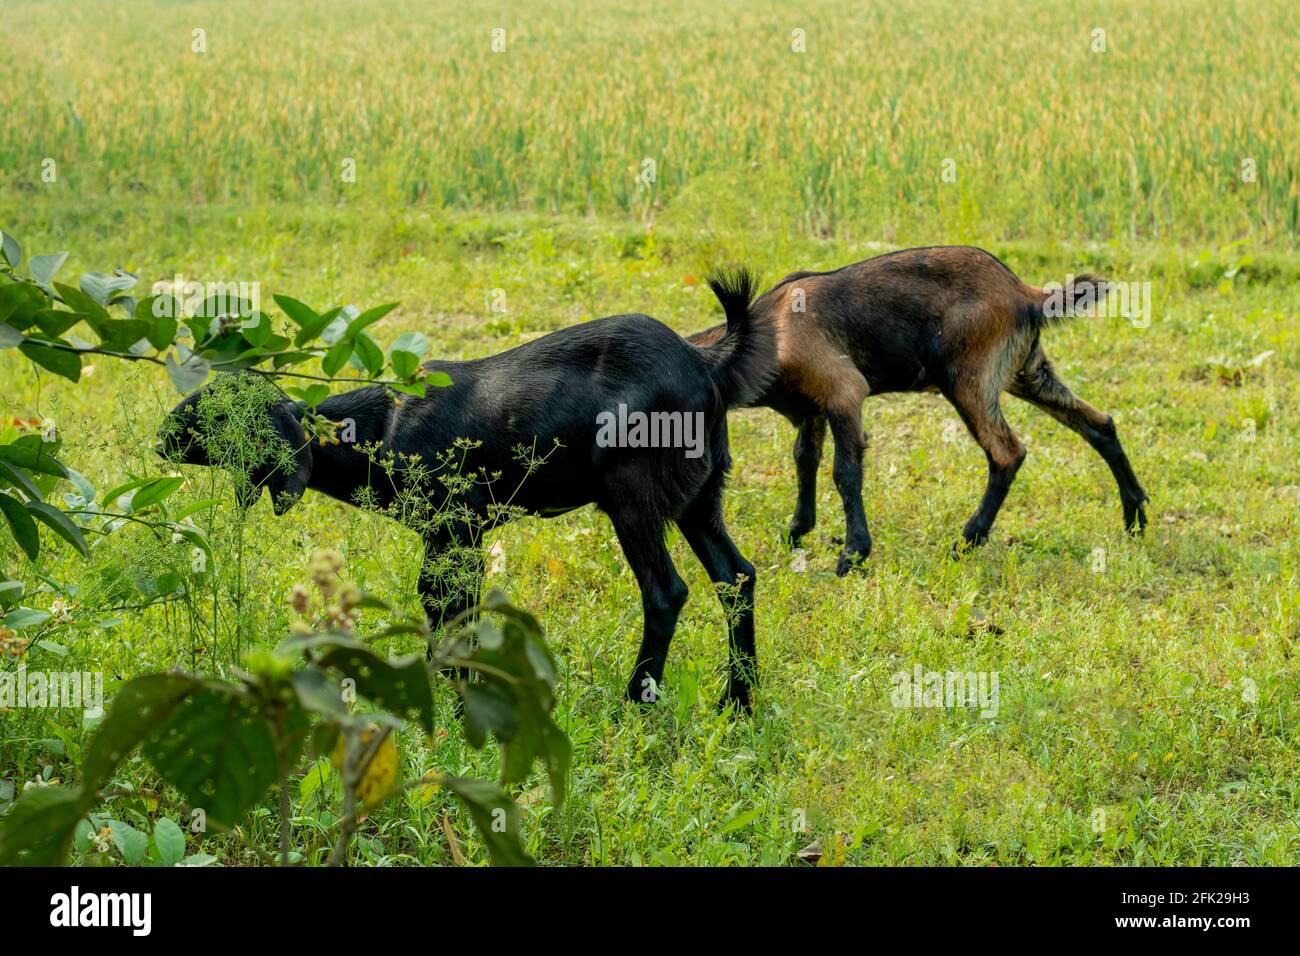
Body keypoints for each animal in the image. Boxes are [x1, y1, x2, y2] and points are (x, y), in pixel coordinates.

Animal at [160, 271, 775, 710]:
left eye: (217, 412)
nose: (161, 437)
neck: (380, 430)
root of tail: (706, 362)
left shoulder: (457, 529)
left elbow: (448, 606)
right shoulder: (451, 539)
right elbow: (448, 606)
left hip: (633, 498)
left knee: (666, 591)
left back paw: (637, 702)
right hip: (702, 497)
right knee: (737, 577)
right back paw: (736, 703)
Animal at [689, 246, 1148, 574]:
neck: (771, 330)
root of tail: (1027, 294)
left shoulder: (844, 392)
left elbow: (844, 472)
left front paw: (853, 555)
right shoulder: (812, 409)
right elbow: (805, 460)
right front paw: (797, 532)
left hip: (968, 378)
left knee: (1007, 452)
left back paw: (966, 541)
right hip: (1026, 372)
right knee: (1099, 423)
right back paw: (1135, 514)